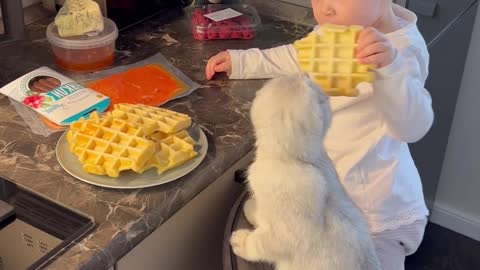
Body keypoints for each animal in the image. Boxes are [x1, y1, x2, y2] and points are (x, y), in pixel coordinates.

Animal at [231, 75, 380, 270]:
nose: (305, 74)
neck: (296, 161)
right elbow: (260, 214)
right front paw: (253, 210)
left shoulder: (284, 235)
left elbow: (258, 244)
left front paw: (241, 241)